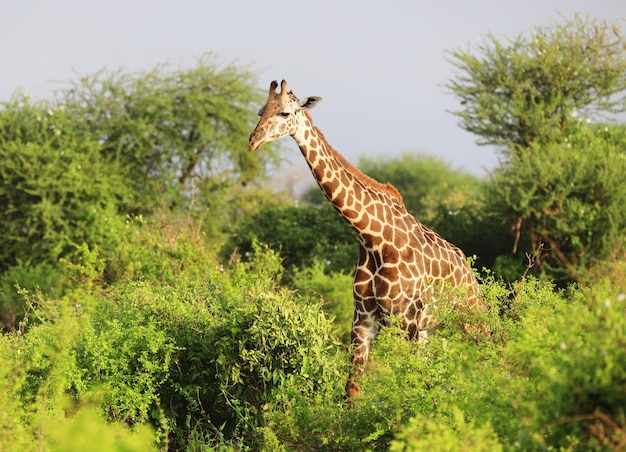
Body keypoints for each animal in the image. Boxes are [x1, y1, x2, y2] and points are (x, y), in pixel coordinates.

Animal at [246, 79, 480, 398]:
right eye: (261, 111)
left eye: (285, 112)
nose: (253, 141)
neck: (372, 238)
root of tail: (468, 269)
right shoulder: (364, 320)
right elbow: (352, 390)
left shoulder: (405, 319)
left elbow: (407, 385)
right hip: (428, 329)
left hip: (470, 318)